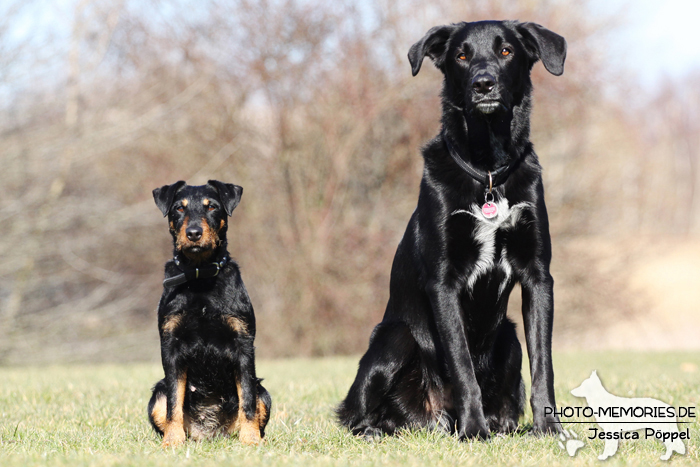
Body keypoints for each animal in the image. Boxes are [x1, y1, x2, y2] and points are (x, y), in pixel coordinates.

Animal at [148, 181, 270, 448]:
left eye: (212, 206)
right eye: (179, 208)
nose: (193, 232)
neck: (200, 277)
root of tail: (210, 432)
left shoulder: (243, 343)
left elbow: (247, 400)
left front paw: (251, 440)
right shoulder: (171, 345)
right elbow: (173, 402)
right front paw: (172, 441)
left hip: (264, 393)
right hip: (157, 394)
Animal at [340, 20, 568, 440]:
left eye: (506, 51)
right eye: (461, 55)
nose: (483, 83)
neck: (488, 172)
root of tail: (433, 419)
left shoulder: (538, 276)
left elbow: (543, 362)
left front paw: (549, 428)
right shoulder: (444, 282)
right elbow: (462, 366)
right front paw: (474, 430)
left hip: (509, 336)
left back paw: (498, 425)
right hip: (394, 339)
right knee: (352, 414)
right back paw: (380, 429)